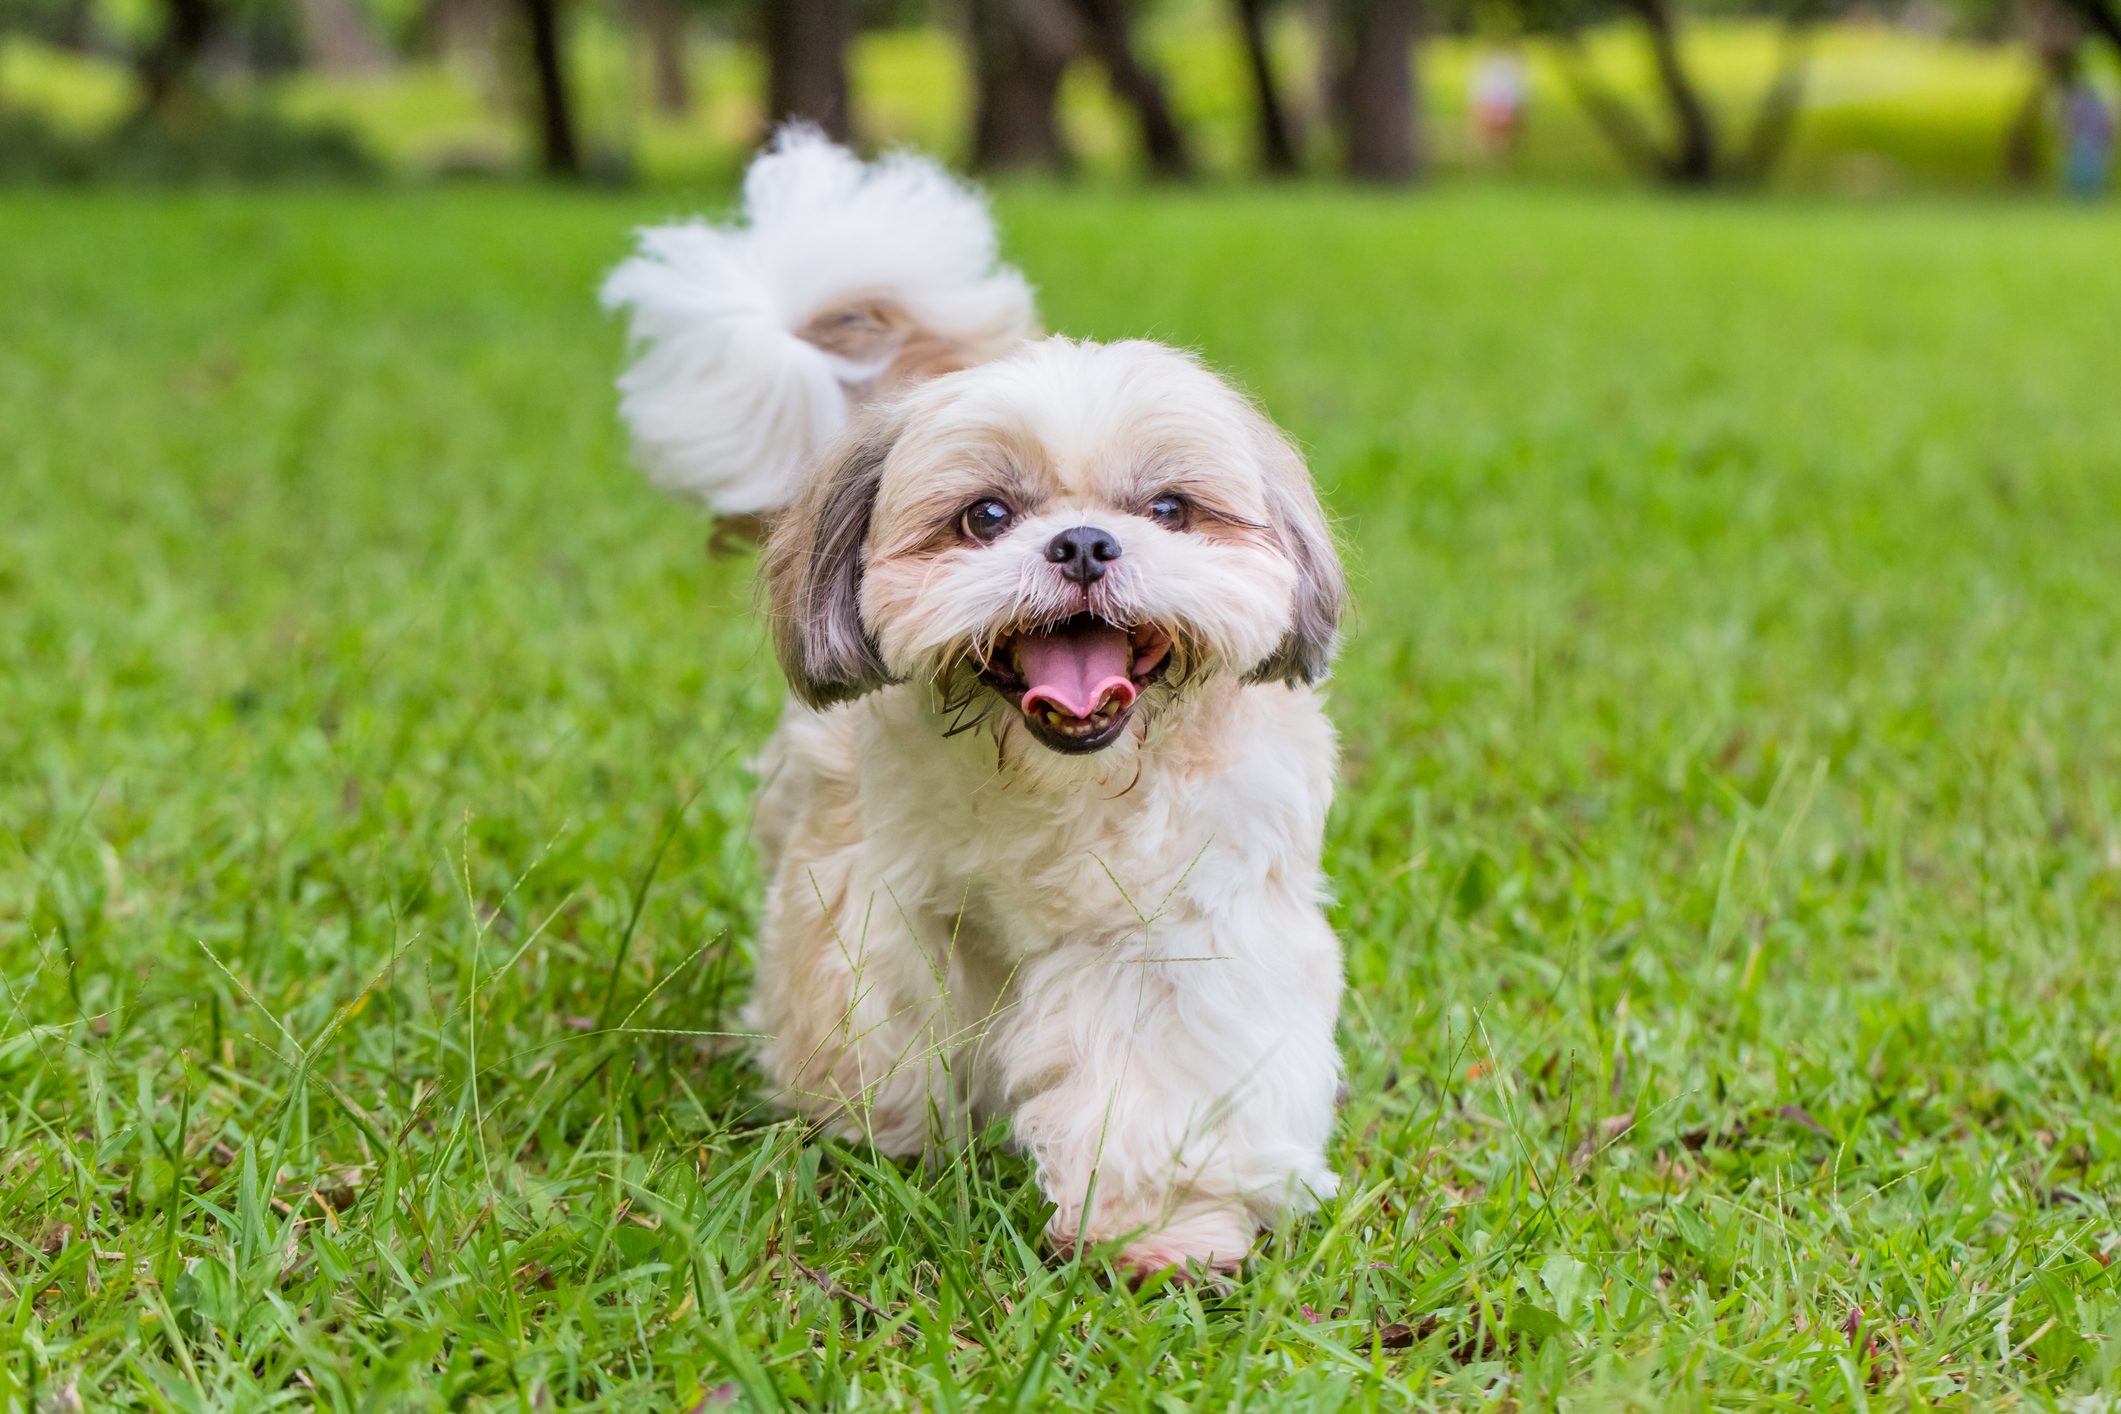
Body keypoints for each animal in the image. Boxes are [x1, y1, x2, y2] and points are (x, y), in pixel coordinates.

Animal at [606, 129, 1348, 1280]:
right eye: (986, 516)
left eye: (1169, 508)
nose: (1083, 542)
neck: (1065, 781)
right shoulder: (890, 905)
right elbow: (890, 1022)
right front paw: (886, 1138)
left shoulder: (1183, 936)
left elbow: (1162, 1081)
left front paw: (1158, 1229)